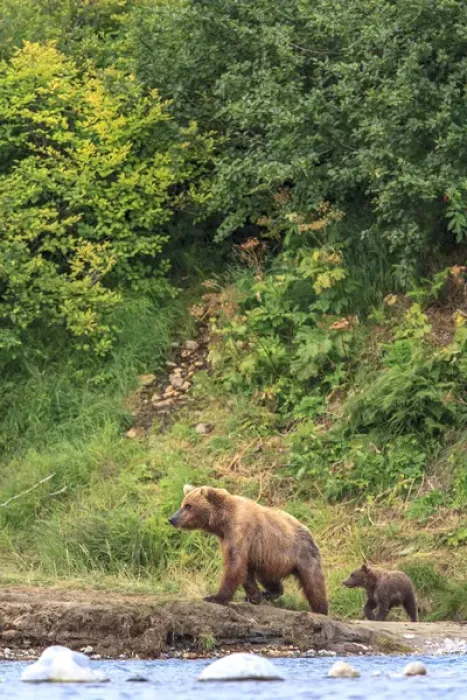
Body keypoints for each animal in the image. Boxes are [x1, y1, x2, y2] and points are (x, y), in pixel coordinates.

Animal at [168, 484, 328, 614]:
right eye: (183, 504)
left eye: (188, 505)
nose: (172, 518)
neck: (222, 520)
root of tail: (309, 530)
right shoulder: (228, 538)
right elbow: (244, 570)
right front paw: (253, 597)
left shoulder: (241, 531)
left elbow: (235, 564)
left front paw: (215, 597)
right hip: (270, 560)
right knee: (267, 577)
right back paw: (270, 592)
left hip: (302, 554)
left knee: (314, 584)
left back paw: (321, 610)